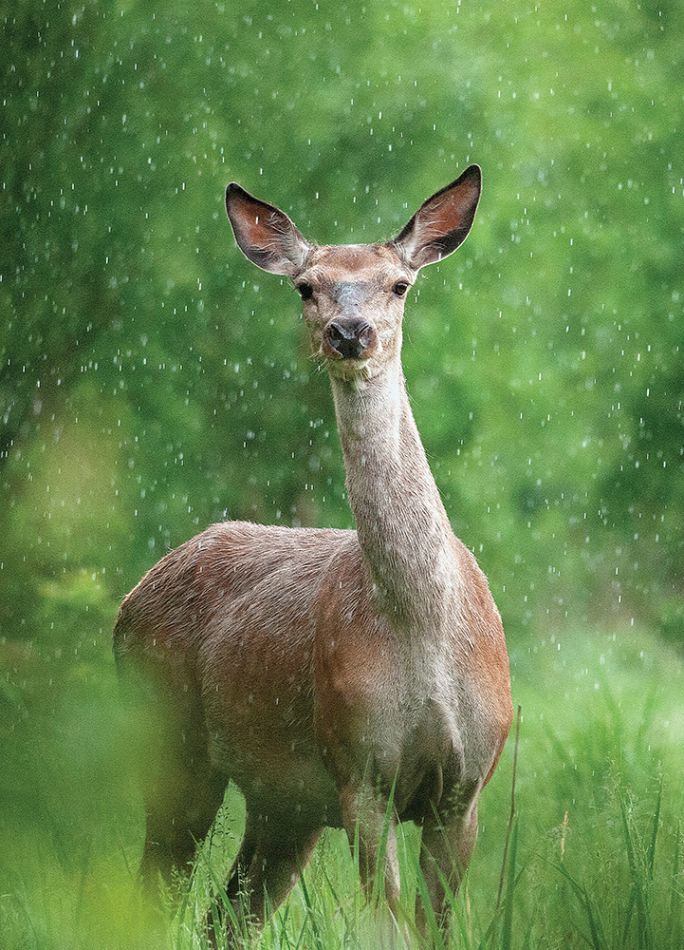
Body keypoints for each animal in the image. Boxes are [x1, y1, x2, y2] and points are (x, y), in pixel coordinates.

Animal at [112, 165, 510, 944]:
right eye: (306, 286)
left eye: (399, 284)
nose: (348, 332)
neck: (424, 626)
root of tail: (129, 601)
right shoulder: (358, 768)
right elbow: (385, 922)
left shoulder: (466, 787)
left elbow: (437, 927)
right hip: (169, 739)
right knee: (151, 894)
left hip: (283, 804)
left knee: (225, 916)